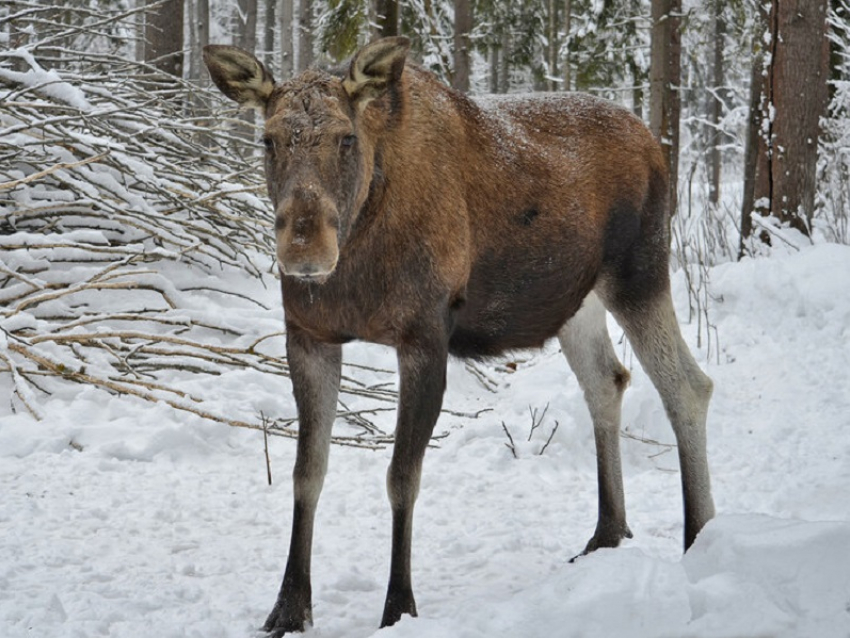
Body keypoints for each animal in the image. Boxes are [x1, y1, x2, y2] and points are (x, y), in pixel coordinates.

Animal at [205, 38, 716, 636]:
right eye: (267, 138)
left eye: (345, 137)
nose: (304, 252)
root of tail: (655, 144)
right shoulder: (309, 336)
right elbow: (306, 473)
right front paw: (287, 608)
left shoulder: (425, 336)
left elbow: (402, 477)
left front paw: (398, 606)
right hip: (577, 301)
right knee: (607, 381)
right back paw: (607, 534)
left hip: (639, 273)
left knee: (687, 385)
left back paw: (699, 537)